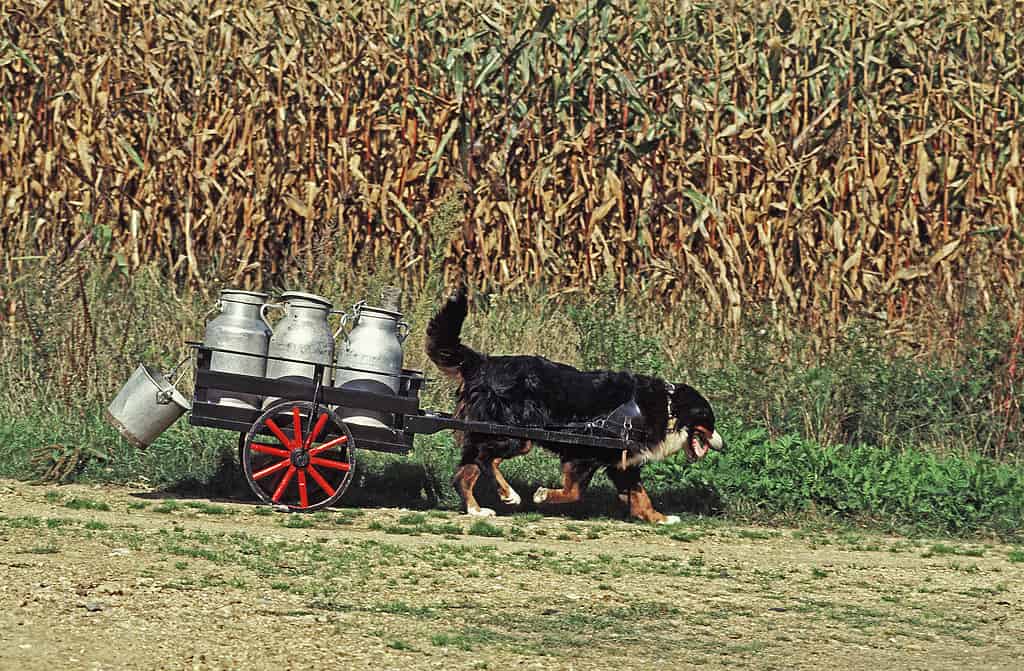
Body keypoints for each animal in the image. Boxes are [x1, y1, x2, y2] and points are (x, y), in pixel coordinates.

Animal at [421, 286, 720, 522]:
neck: (666, 409)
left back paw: (477, 510)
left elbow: (640, 496)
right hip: (516, 435)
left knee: (465, 473)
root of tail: (483, 363)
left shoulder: (622, 463)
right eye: (709, 420)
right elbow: (574, 492)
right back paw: (508, 494)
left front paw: (660, 518)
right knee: (485, 459)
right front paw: (542, 496)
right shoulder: (584, 453)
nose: (721, 443)